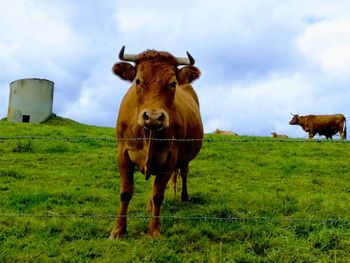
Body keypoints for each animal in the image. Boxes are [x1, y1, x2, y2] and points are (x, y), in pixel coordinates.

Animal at [108, 46, 202, 239]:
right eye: (138, 81)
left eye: (173, 84)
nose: (152, 117)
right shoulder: (123, 154)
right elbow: (125, 193)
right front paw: (118, 230)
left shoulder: (170, 158)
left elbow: (158, 195)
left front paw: (154, 231)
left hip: (184, 157)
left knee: (184, 173)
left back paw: (184, 197)